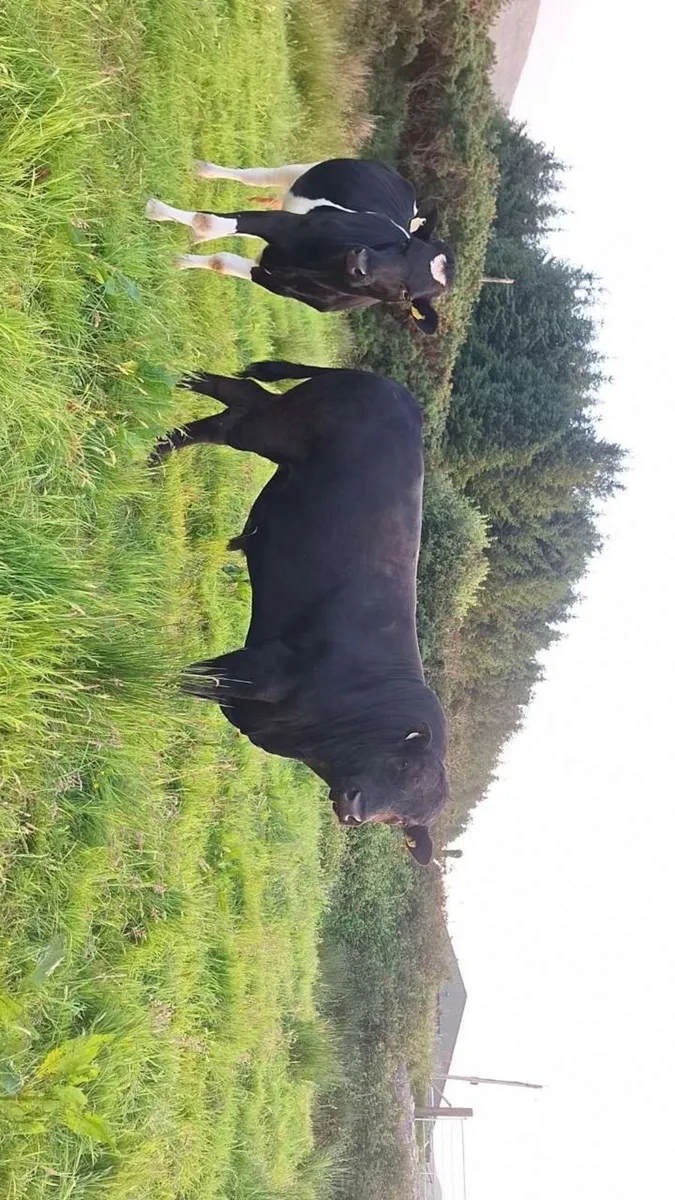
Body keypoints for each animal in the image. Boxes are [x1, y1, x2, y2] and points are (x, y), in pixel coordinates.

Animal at [145, 158, 454, 334]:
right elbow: (207, 222)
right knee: (258, 176)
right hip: (301, 172)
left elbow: (221, 261)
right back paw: (205, 170)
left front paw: (181, 260)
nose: (360, 263)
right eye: (404, 245)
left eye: (407, 293)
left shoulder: (273, 280)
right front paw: (156, 210)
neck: (316, 268)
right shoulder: (283, 225)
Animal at [152, 361, 449, 862]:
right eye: (403, 766)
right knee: (242, 402)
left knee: (231, 409)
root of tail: (394, 389)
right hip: (273, 428)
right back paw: (176, 404)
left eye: (400, 820)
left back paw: (160, 445)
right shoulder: (260, 665)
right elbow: (185, 675)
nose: (355, 809)